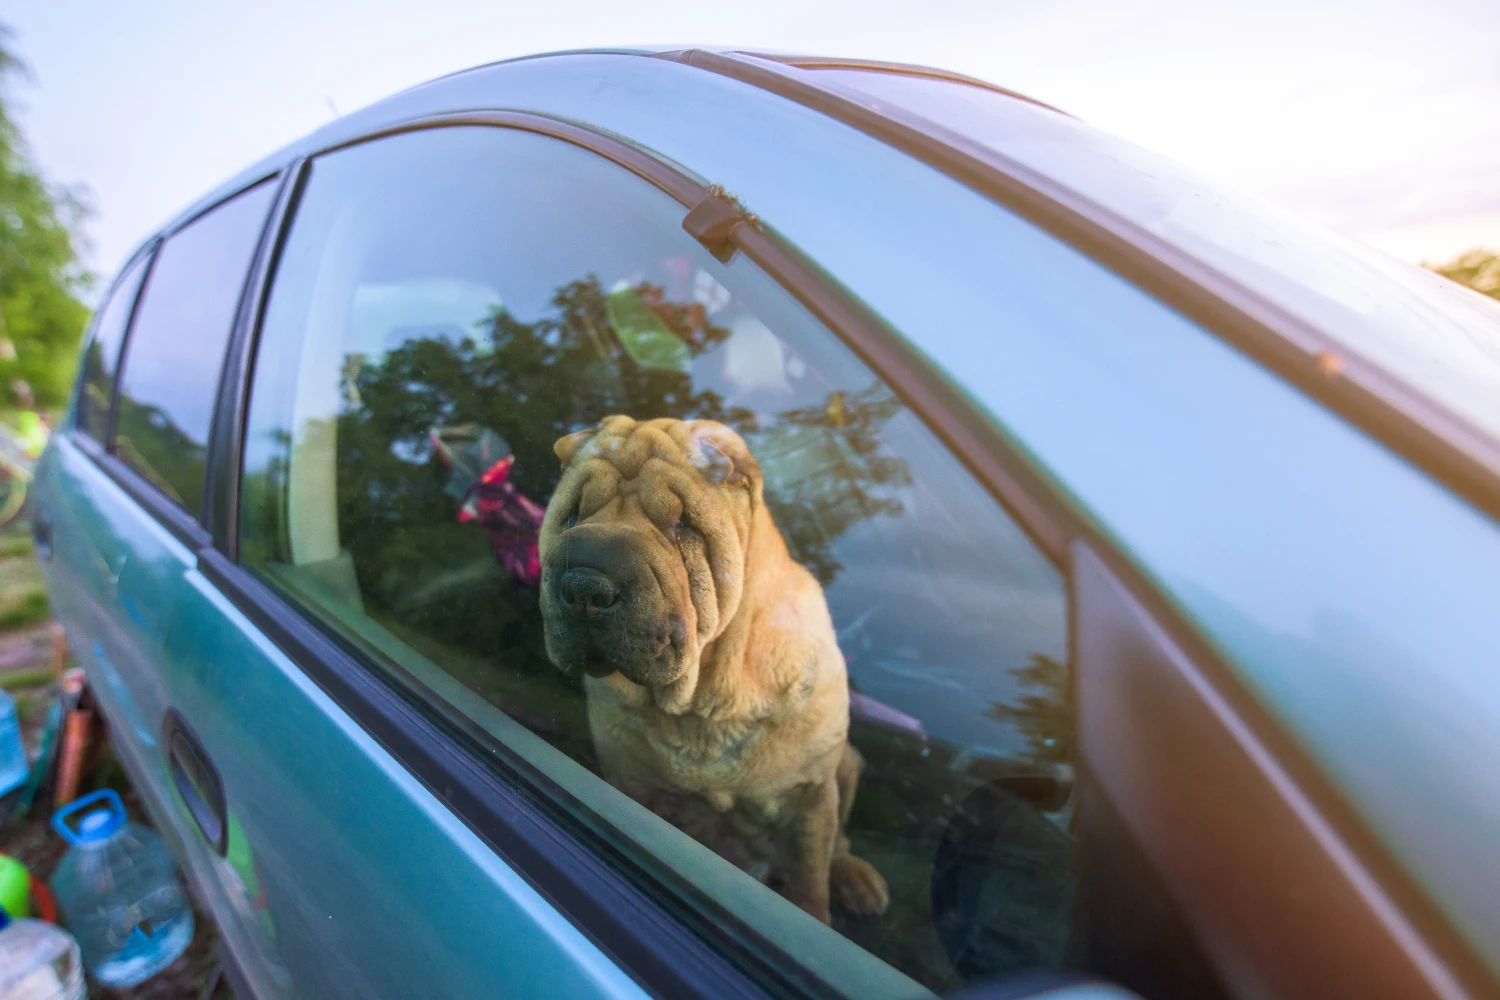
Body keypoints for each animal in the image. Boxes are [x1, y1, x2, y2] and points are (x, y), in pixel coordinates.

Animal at [540, 413, 888, 923]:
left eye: (681, 524)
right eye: (572, 515)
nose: (585, 584)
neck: (702, 704)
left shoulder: (810, 795)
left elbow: (808, 883)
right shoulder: (630, 779)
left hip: (847, 763)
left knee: (837, 844)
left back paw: (857, 879)